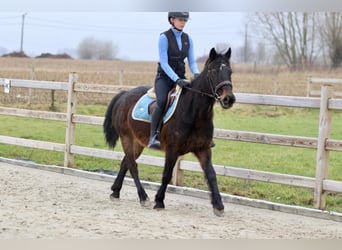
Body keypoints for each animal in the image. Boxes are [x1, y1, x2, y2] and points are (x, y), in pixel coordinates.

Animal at [101, 47, 235, 217]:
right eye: (214, 72)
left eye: (230, 72)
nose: (228, 99)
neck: (194, 112)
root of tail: (124, 95)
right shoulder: (172, 149)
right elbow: (166, 174)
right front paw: (159, 201)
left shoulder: (203, 148)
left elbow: (211, 174)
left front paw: (218, 205)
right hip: (126, 138)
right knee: (132, 165)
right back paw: (143, 197)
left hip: (138, 142)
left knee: (126, 162)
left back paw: (116, 191)